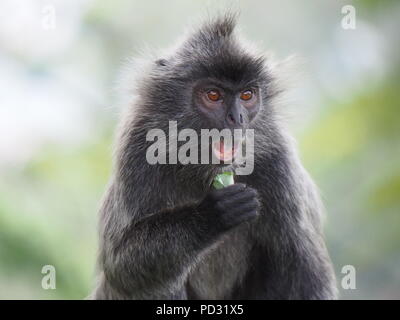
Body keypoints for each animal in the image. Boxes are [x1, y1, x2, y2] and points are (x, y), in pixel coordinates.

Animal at [91, 13, 338, 300]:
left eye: (247, 95)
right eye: (213, 95)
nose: (237, 118)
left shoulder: (278, 160)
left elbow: (308, 275)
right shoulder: (138, 147)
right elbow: (121, 266)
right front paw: (213, 213)